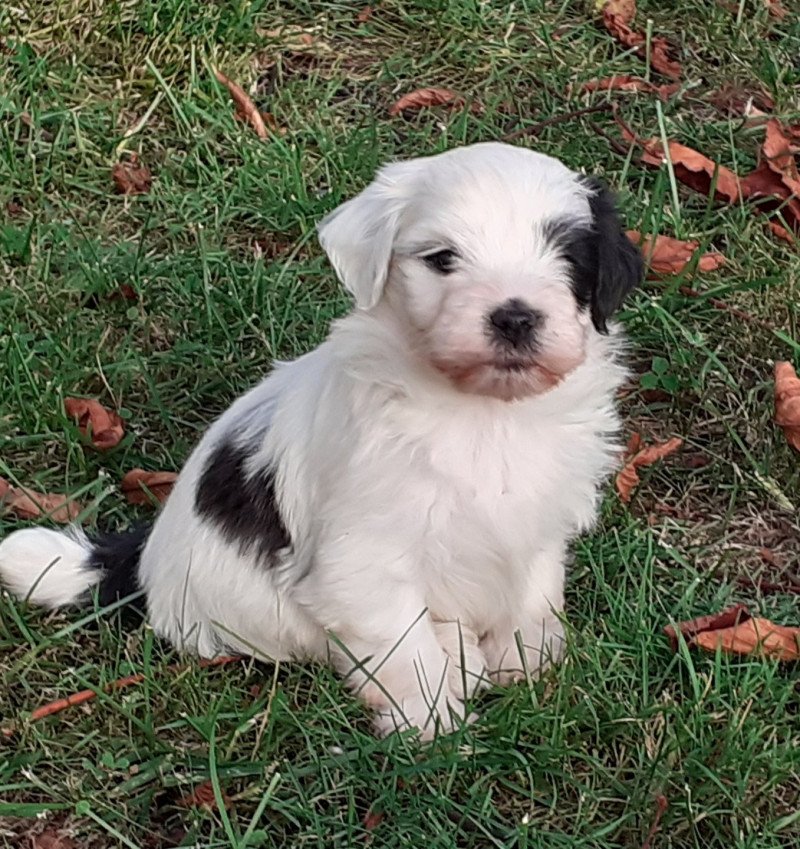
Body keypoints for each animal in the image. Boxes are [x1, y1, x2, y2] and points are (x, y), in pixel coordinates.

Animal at [0, 142, 640, 740]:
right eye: (442, 260)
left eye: (568, 259)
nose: (514, 317)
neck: (481, 413)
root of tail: (140, 560)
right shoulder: (364, 558)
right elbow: (404, 644)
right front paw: (432, 723)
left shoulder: (538, 520)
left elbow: (534, 590)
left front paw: (527, 662)